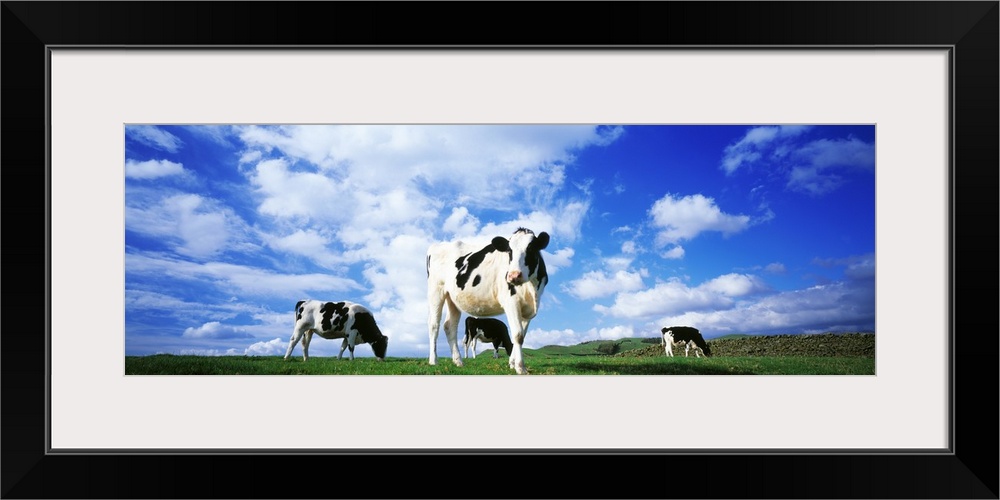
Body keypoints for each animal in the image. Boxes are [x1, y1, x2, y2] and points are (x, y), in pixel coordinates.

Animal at [422, 229, 548, 374]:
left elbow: (522, 336)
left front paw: (512, 363)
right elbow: (518, 335)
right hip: (435, 291)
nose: (513, 275)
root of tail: (438, 245)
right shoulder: (511, 302)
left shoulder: (529, 309)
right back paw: (434, 360)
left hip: (452, 298)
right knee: (434, 325)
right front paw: (521, 368)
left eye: (531, 248)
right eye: (509, 251)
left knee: (449, 326)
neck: (532, 288)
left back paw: (458, 361)